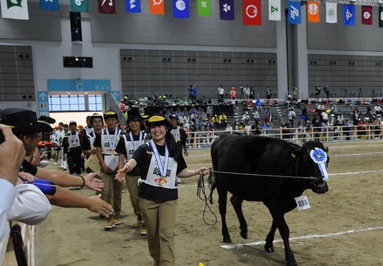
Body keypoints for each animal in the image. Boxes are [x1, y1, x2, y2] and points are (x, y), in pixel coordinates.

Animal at [210, 135, 330, 266]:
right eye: (307, 161)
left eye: (327, 160)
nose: (321, 186)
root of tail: (223, 137)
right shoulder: (273, 202)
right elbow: (284, 229)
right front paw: (290, 258)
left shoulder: (284, 203)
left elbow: (275, 223)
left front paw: (268, 244)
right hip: (220, 182)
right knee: (222, 208)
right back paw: (226, 235)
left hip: (243, 187)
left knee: (235, 201)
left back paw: (244, 230)